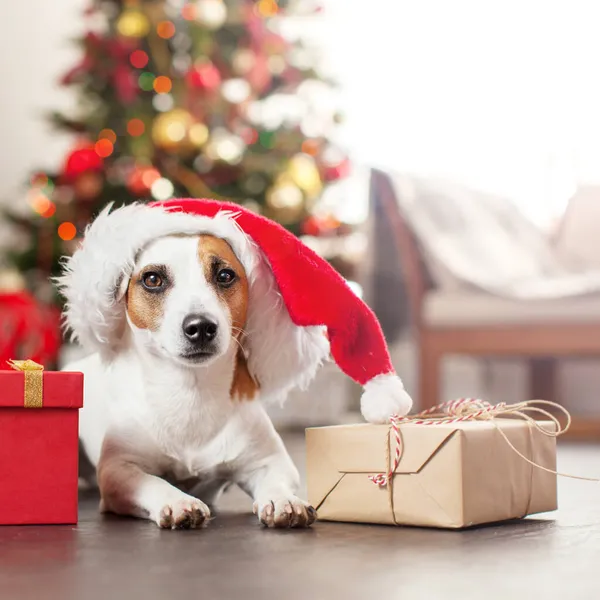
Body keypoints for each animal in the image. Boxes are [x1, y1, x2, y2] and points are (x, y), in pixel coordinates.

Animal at [58, 206, 330, 528]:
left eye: (225, 275)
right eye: (152, 279)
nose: (200, 326)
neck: (191, 390)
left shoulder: (270, 461)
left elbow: (276, 479)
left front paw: (284, 500)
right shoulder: (118, 470)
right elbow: (153, 482)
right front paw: (177, 501)